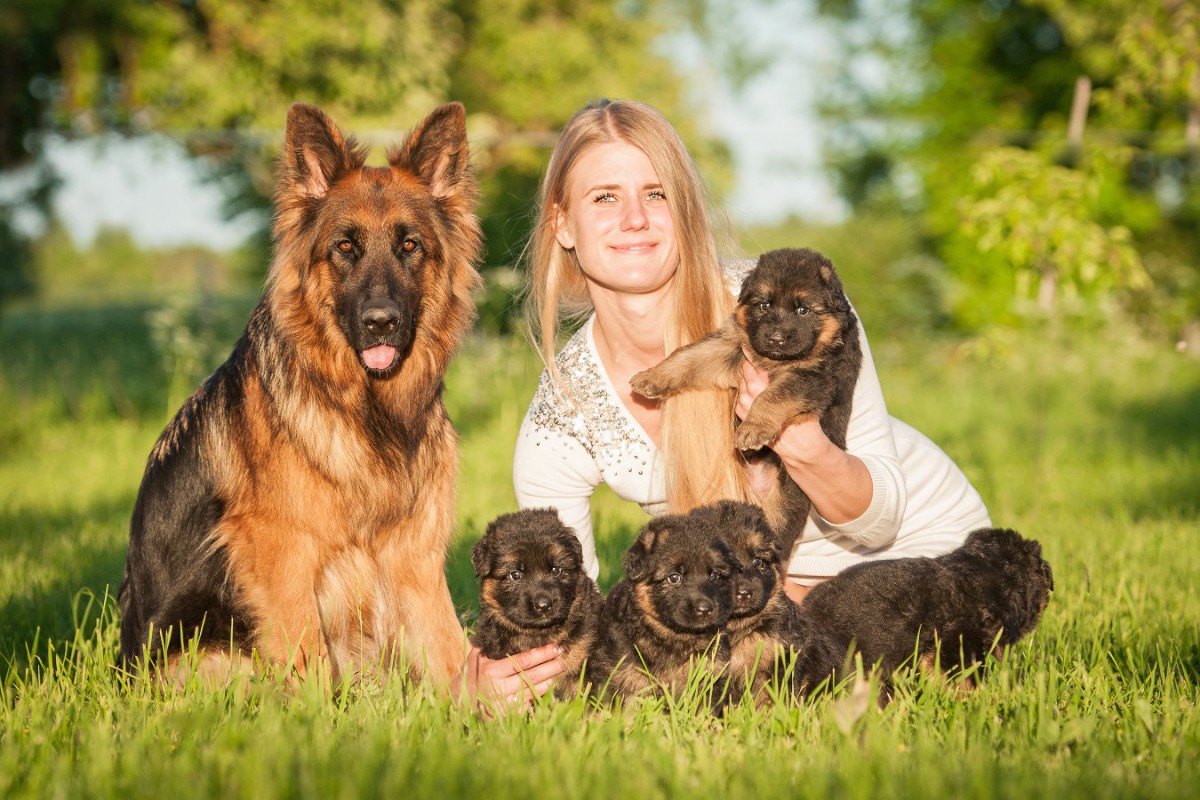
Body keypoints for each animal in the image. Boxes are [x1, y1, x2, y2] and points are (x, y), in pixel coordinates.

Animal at [117, 101, 480, 690]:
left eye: (410, 246)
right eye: (345, 247)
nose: (381, 322)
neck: (366, 410)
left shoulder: (415, 557)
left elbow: (454, 655)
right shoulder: (281, 553)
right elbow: (306, 659)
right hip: (206, 649)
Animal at [628, 248, 864, 551]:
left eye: (803, 310)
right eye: (764, 305)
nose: (776, 338)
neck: (775, 360)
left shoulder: (814, 377)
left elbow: (772, 396)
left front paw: (753, 429)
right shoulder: (729, 346)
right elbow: (688, 355)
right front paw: (652, 377)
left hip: (783, 503)